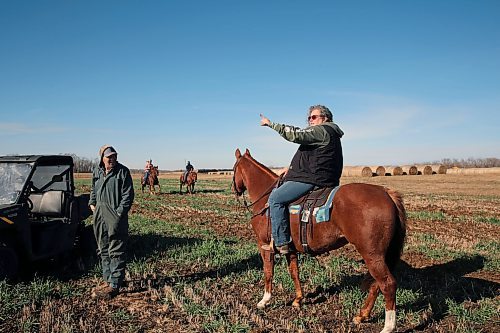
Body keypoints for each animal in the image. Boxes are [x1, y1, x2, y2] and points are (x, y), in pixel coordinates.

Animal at [233, 148, 406, 332]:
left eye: (234, 169)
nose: (235, 190)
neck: (266, 199)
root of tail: (387, 193)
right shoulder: (290, 248)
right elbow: (294, 272)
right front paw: (298, 299)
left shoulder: (264, 246)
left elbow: (268, 272)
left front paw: (264, 301)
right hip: (379, 256)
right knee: (376, 285)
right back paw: (362, 315)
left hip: (372, 254)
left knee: (387, 284)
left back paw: (388, 326)